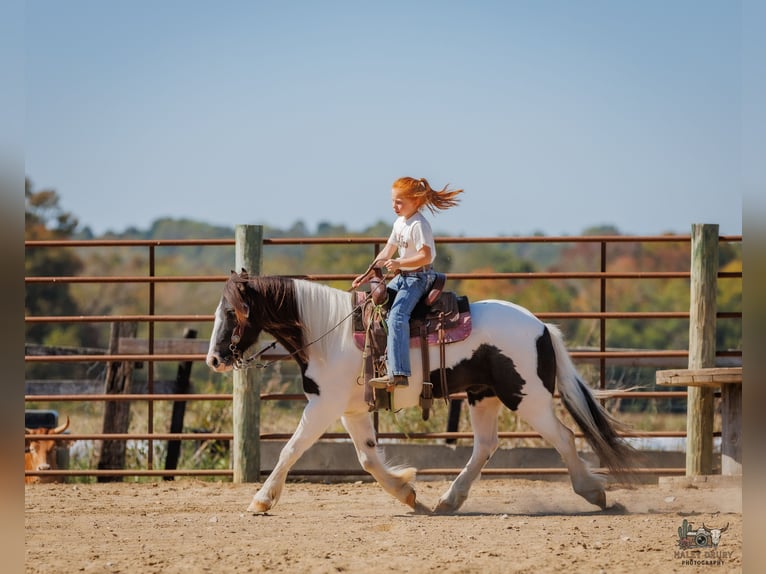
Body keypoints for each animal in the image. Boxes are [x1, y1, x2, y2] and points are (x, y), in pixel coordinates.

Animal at [206, 271, 636, 514]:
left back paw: (593, 493)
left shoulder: (323, 407)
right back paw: (449, 500)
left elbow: (290, 449)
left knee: (562, 436)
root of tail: (542, 326)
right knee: (485, 445)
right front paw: (406, 492)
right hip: (483, 395)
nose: (213, 359)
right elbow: (367, 458)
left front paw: (261, 500)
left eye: (232, 313)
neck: (329, 334)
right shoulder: (351, 411)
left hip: (526, 397)